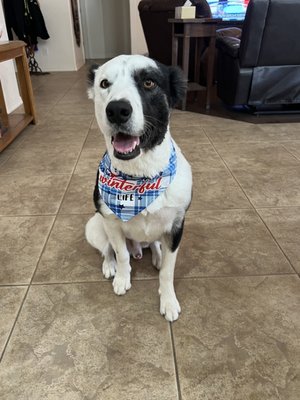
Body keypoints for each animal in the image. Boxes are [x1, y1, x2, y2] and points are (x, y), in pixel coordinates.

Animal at [84, 54, 192, 322]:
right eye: (104, 83)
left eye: (149, 82)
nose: (116, 110)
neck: (140, 176)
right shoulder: (111, 223)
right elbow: (120, 254)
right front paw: (123, 278)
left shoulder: (176, 226)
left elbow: (168, 271)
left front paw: (168, 300)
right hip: (94, 226)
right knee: (107, 250)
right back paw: (110, 265)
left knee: (154, 243)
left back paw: (156, 255)